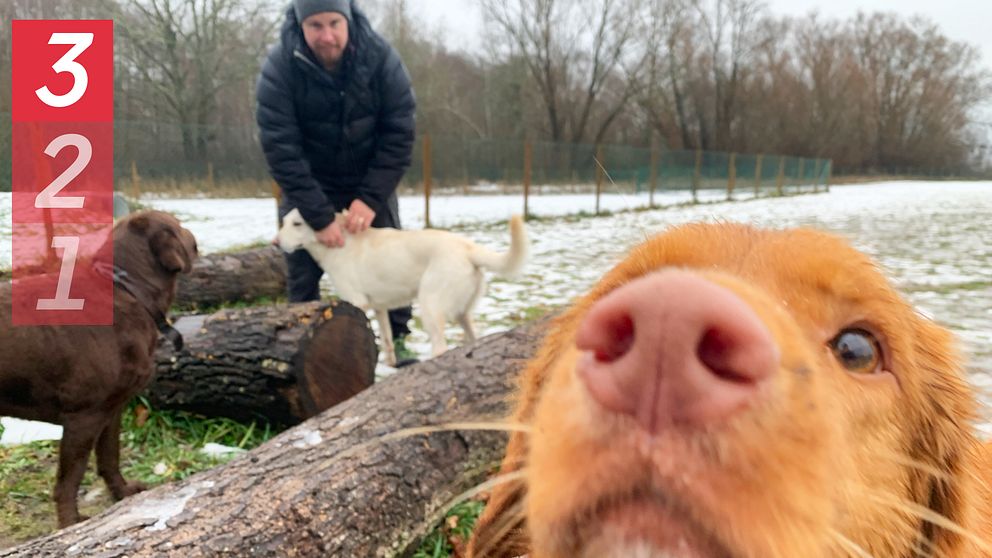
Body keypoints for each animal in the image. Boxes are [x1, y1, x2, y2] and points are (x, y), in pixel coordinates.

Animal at [0, 211, 198, 528]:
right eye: (179, 225)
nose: (193, 238)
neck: (129, 290)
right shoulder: (83, 416)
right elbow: (70, 480)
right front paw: (70, 523)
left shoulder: (112, 407)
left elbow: (110, 457)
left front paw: (123, 493)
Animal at [280, 210, 528, 368]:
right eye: (284, 222)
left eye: (297, 224)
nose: (276, 242)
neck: (341, 242)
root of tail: (468, 248)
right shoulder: (379, 308)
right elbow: (387, 340)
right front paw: (390, 364)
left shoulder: (357, 303)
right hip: (462, 314)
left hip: (429, 307)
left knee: (440, 347)